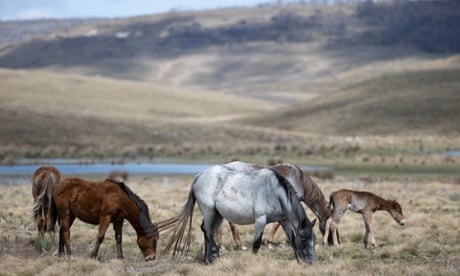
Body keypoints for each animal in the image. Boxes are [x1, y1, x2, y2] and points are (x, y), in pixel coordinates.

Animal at [159, 163, 316, 264]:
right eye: (304, 238)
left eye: (313, 239)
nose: (311, 262)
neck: (275, 191)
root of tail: (200, 175)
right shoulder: (261, 219)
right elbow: (256, 243)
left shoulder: (284, 220)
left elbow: (292, 239)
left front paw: (298, 259)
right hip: (209, 211)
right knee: (207, 231)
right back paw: (215, 253)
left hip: (217, 215)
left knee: (208, 231)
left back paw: (208, 260)